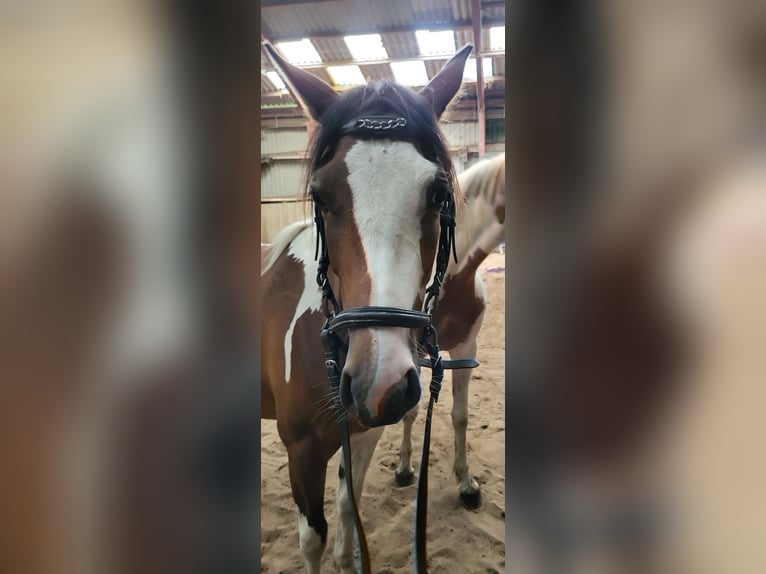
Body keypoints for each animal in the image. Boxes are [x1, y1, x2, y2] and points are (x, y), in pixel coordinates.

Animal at [260, 44, 472, 573]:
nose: (380, 383)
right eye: (320, 194)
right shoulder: (301, 451)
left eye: (438, 192)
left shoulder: (360, 435)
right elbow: (312, 539)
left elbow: (345, 510)